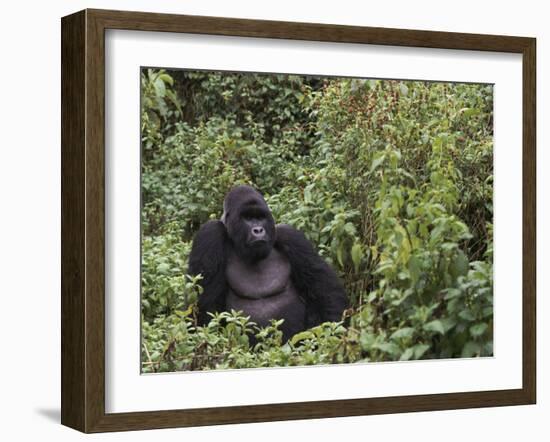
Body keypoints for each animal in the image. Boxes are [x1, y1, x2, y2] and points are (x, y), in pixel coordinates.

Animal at [188, 185, 348, 340]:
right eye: (247, 218)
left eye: (260, 217)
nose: (258, 230)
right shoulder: (210, 233)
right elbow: (205, 307)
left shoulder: (290, 236)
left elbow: (325, 291)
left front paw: (332, 334)